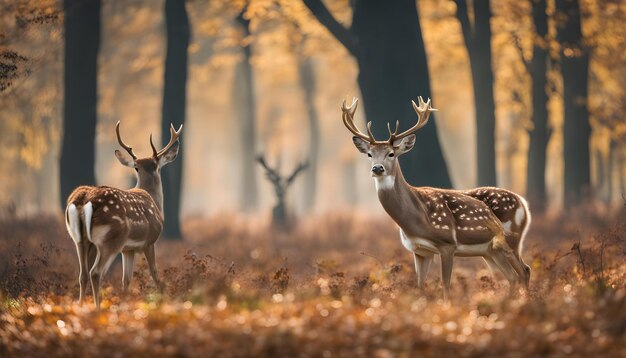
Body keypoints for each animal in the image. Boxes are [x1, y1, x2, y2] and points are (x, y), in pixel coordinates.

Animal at [64, 121, 182, 308]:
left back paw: (81, 307)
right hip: (110, 238)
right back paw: (98, 308)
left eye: (138, 167)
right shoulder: (149, 241)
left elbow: (126, 280)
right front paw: (163, 298)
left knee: (82, 275)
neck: (156, 204)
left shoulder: (128, 249)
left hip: (80, 239)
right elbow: (154, 273)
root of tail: (84, 200)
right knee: (95, 272)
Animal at [342, 97, 532, 300]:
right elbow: (420, 285)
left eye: (391, 154)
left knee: (523, 271)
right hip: (490, 251)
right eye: (370, 154)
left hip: (510, 239)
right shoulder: (419, 250)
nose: (377, 168)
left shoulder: (447, 243)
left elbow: (445, 284)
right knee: (515, 274)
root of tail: (524, 204)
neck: (415, 220)